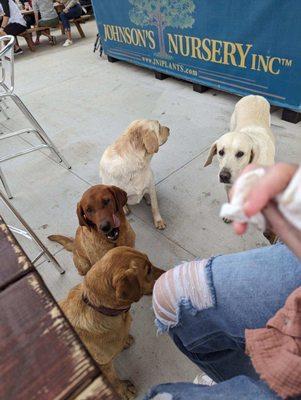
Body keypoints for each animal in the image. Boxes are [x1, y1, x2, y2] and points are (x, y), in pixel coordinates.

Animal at [60, 247, 164, 400]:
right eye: (148, 270)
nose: (167, 272)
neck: (98, 308)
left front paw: (125, 340)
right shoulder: (103, 365)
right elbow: (113, 378)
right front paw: (123, 389)